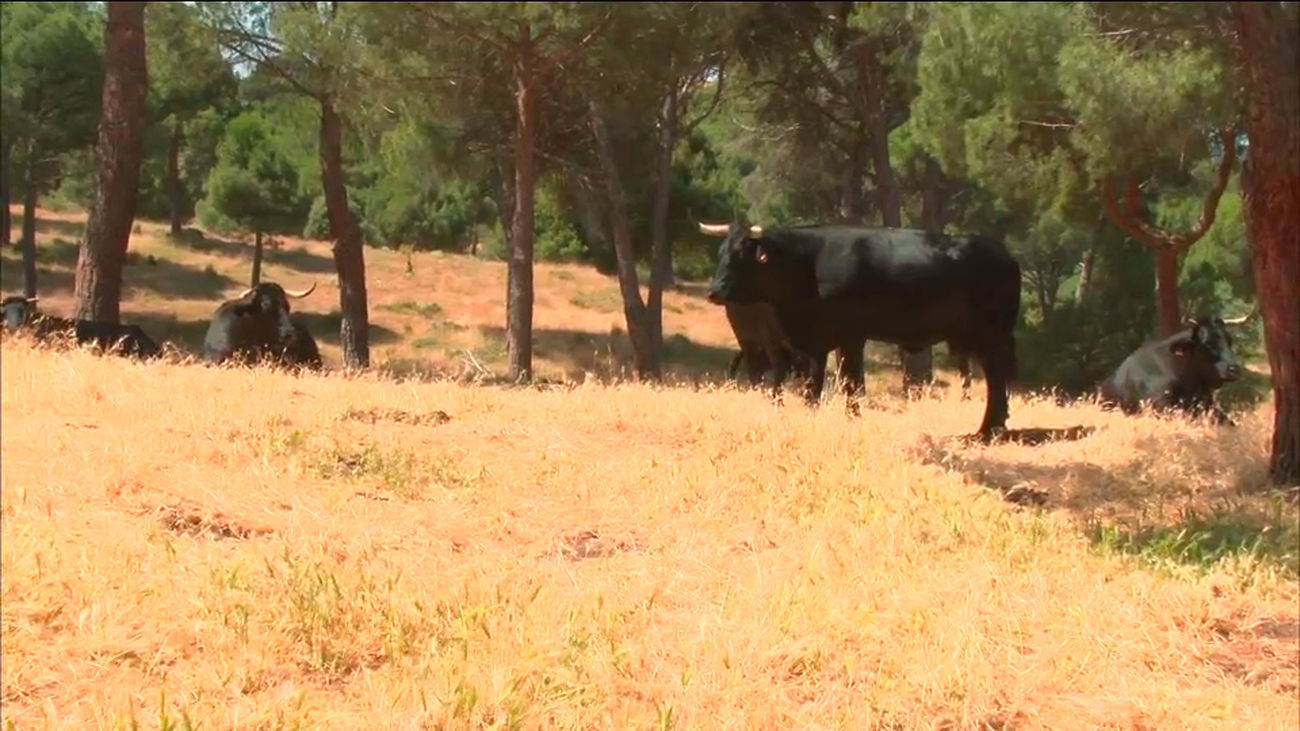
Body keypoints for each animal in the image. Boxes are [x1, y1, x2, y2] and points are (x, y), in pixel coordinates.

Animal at [701, 219, 1021, 439]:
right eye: (720, 252)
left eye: (742, 254)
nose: (714, 291)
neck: (809, 265)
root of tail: (1006, 255)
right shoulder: (818, 341)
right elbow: (814, 384)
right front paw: (813, 413)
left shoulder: (851, 336)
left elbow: (851, 382)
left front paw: (852, 417)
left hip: (992, 336)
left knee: (997, 380)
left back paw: (989, 429)